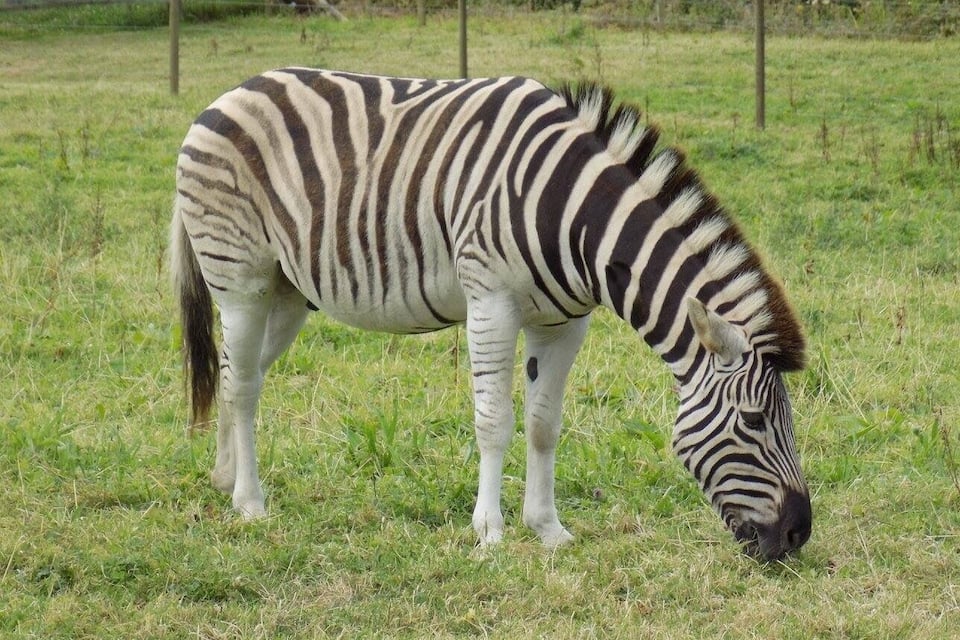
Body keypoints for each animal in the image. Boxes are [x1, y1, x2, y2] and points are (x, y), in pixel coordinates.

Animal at [170, 68, 812, 561]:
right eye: (755, 420)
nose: (798, 534)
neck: (575, 218)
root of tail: (228, 94)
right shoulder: (490, 303)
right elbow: (494, 420)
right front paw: (490, 530)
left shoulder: (564, 322)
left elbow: (544, 423)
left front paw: (548, 528)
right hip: (240, 279)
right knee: (243, 385)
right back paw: (250, 503)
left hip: (284, 293)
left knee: (236, 374)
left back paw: (226, 478)